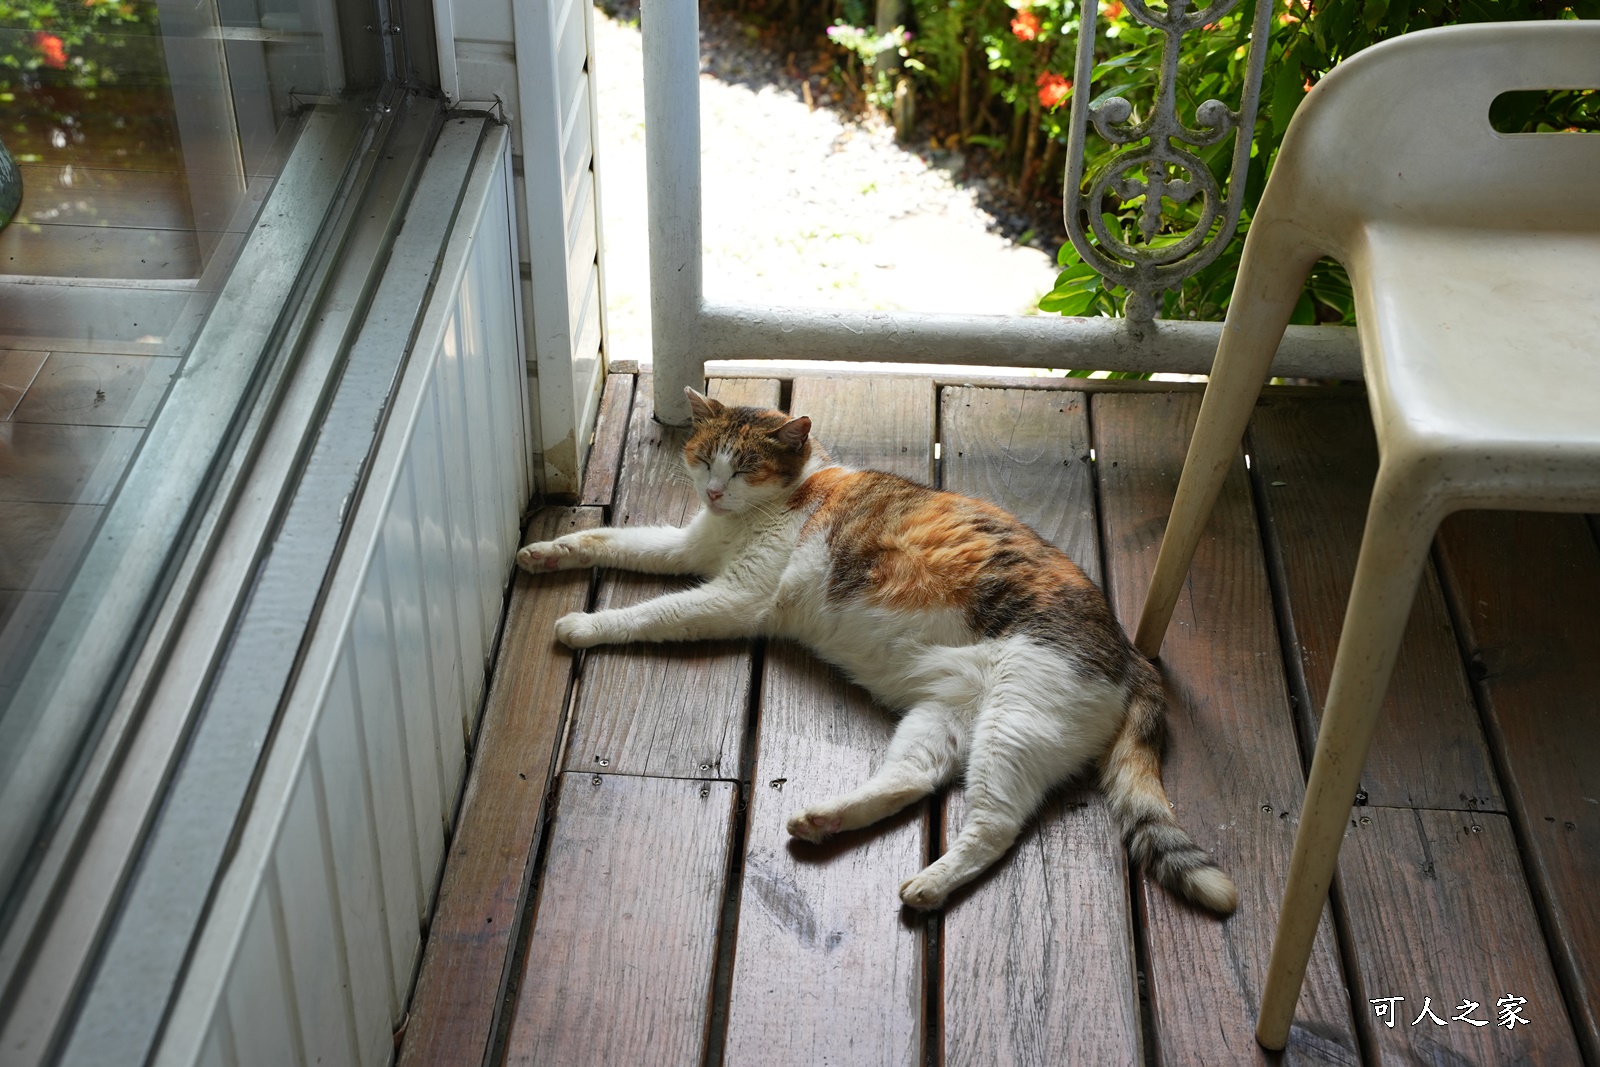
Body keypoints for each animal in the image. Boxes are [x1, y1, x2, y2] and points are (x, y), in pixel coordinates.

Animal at [518, 388, 1241, 915]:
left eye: (745, 465)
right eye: (703, 458)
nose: (715, 491)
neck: (778, 498)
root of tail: (1132, 653)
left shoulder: (737, 596)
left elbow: (651, 612)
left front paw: (584, 625)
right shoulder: (687, 548)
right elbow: (611, 540)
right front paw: (543, 553)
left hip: (1016, 721)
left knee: (996, 825)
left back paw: (930, 883)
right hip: (944, 717)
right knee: (914, 778)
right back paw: (824, 820)